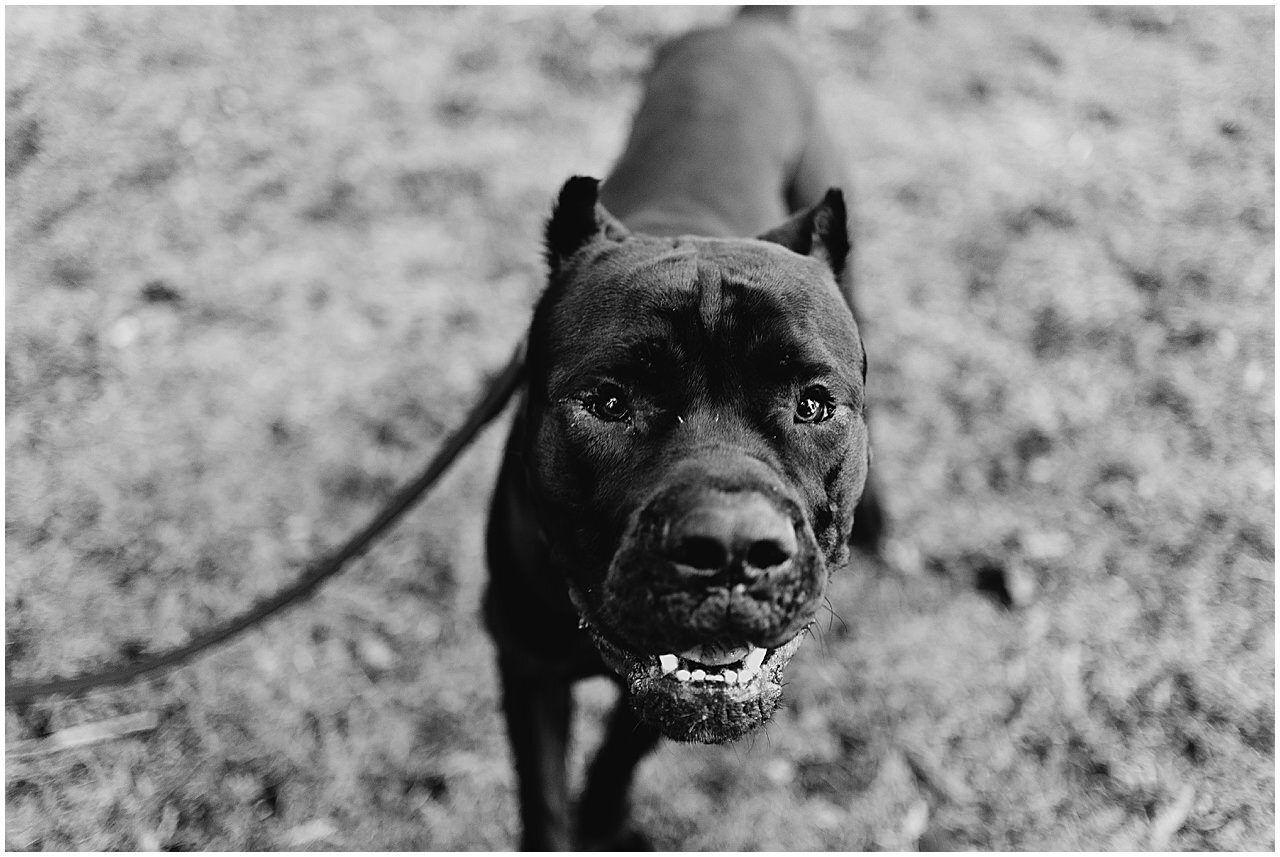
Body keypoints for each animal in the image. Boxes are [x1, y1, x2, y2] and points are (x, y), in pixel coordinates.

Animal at [481, 8, 880, 854]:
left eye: (814, 404)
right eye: (608, 401)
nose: (730, 549)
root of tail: (749, 27)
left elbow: (616, 759)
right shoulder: (524, 660)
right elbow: (545, 799)